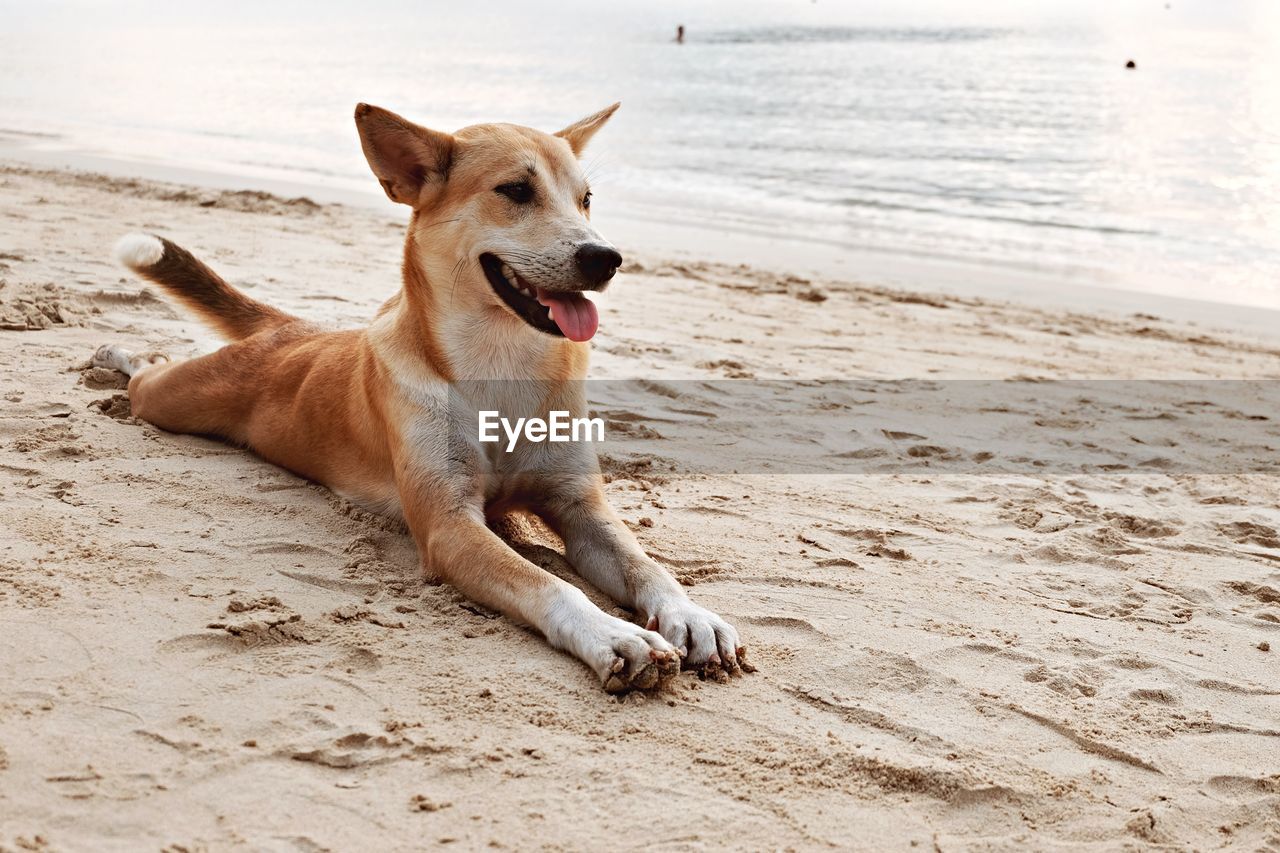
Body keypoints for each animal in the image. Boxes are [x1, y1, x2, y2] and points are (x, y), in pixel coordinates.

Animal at [97, 104, 747, 691]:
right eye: (515, 190)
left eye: (586, 199)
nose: (605, 258)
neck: (501, 366)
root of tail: (296, 330)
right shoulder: (449, 526)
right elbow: (546, 583)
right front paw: (614, 634)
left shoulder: (580, 506)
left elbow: (645, 563)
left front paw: (692, 615)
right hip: (175, 401)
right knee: (150, 375)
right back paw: (118, 358)